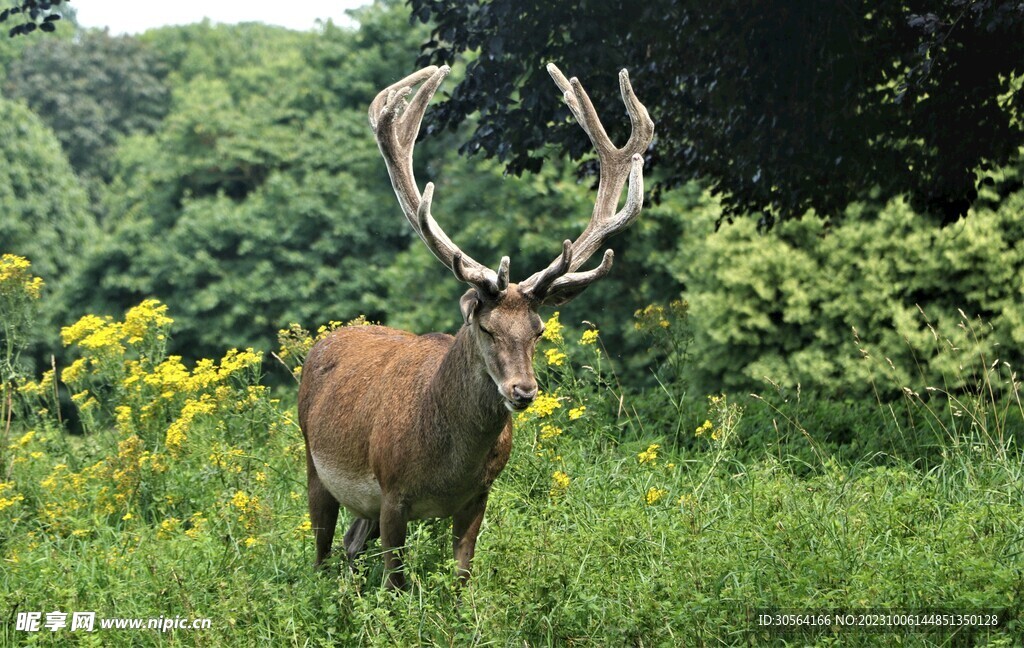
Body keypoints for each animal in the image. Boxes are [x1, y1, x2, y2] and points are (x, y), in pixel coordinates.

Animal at [297, 63, 654, 590]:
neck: (447, 466)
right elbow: (395, 582)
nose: (523, 390)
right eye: (486, 328)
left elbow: (463, 577)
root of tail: (328, 340)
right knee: (321, 552)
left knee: (348, 546)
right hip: (315, 465)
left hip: (360, 502)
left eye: (538, 330)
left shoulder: (479, 496)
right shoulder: (392, 493)